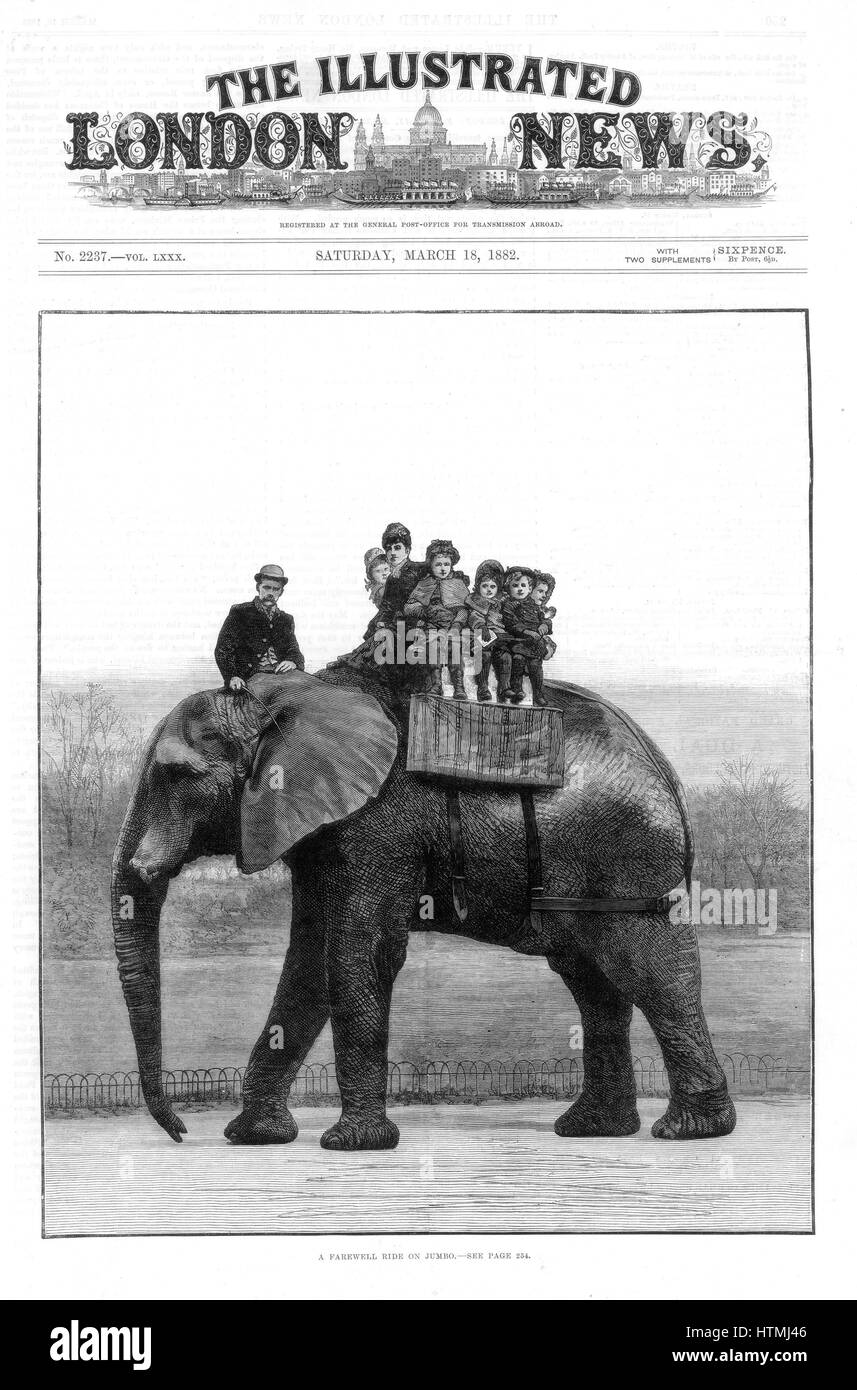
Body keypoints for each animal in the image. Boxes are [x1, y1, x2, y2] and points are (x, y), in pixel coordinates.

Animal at [110, 661, 733, 1150]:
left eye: (176, 774)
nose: (180, 1132)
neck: (284, 699)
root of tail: (666, 772)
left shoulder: (376, 827)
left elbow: (358, 953)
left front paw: (351, 1145)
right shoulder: (320, 829)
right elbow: (309, 962)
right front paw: (254, 1138)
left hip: (628, 853)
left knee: (649, 972)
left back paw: (688, 1131)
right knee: (594, 982)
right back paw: (593, 1130)